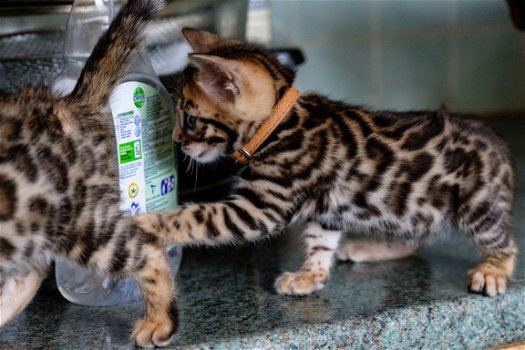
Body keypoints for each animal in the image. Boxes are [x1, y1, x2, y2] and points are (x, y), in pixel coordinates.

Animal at [136, 28, 516, 298]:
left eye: (189, 119)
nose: (176, 142)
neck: (278, 125)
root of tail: (498, 141)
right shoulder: (327, 209)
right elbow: (320, 241)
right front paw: (310, 275)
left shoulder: (260, 208)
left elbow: (196, 217)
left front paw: (146, 223)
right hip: (411, 207)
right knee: (416, 237)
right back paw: (369, 248)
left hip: (476, 204)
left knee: (504, 241)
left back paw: (493, 270)